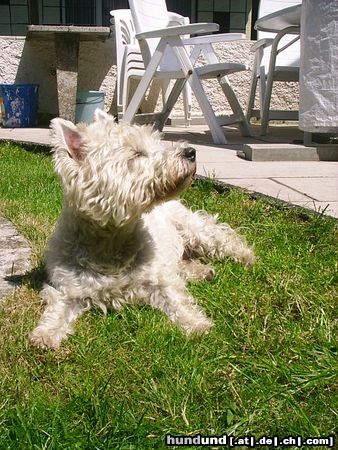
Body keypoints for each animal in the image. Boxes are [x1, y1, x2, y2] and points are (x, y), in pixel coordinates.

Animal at [31, 110, 254, 350]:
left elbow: (178, 300)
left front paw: (197, 324)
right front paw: (45, 335)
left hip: (193, 229)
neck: (111, 241)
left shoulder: (159, 281)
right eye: (137, 153)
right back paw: (202, 271)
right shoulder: (67, 289)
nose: (191, 152)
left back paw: (247, 257)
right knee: (182, 261)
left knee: (223, 238)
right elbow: (57, 309)